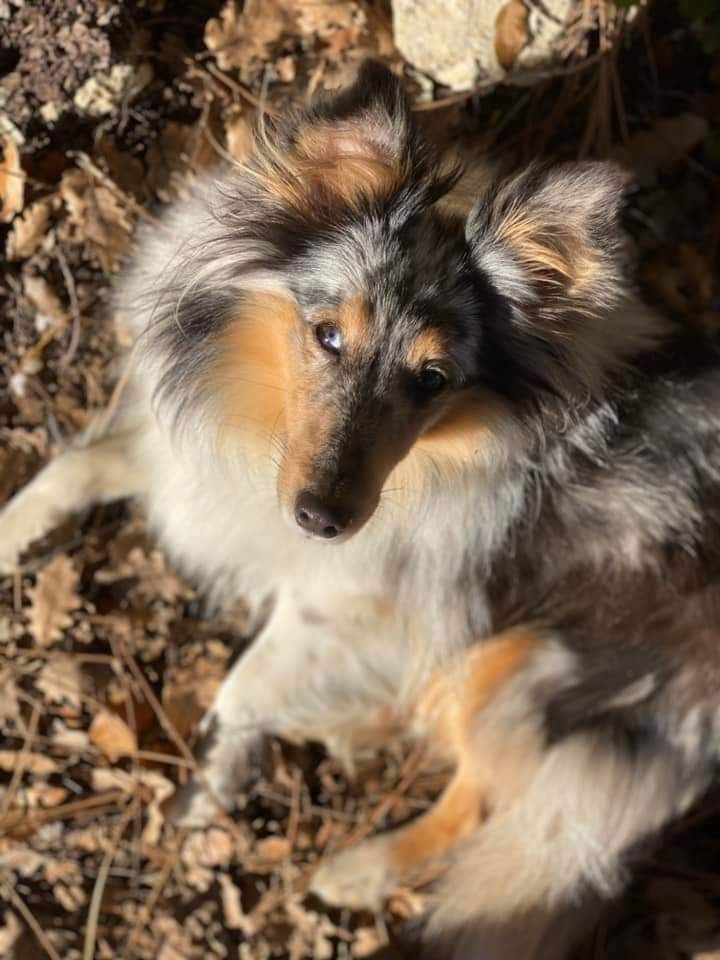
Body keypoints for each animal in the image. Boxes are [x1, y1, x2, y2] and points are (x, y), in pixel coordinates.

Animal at [4, 63, 720, 956]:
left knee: (491, 805)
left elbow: (242, 688)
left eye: (433, 379)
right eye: (327, 336)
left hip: (534, 668)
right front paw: (13, 533)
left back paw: (359, 868)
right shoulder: (193, 465)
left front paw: (208, 787)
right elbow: (75, 467)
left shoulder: (359, 601)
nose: (322, 519)